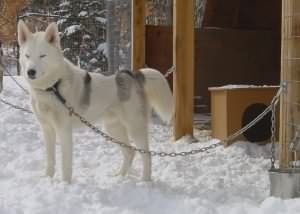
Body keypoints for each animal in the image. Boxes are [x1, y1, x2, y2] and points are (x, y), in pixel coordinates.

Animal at [18, 20, 173, 182]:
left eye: (42, 55)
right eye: (27, 56)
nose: (30, 72)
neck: (52, 87)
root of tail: (133, 75)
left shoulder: (64, 130)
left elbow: (65, 164)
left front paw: (65, 184)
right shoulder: (47, 129)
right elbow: (50, 160)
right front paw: (47, 179)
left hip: (135, 128)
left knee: (146, 155)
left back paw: (144, 180)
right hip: (113, 129)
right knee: (130, 152)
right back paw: (119, 177)